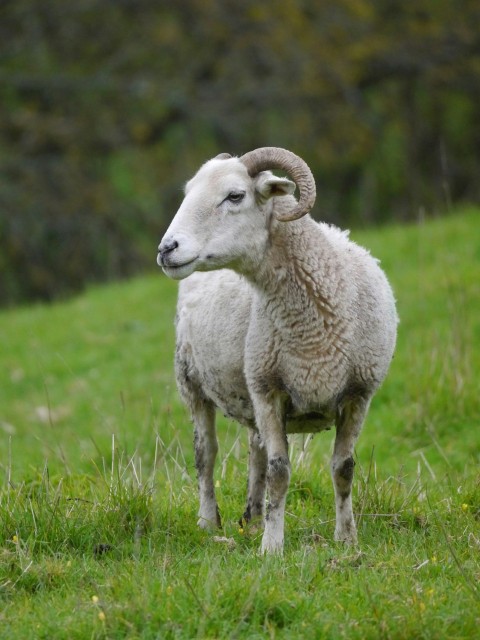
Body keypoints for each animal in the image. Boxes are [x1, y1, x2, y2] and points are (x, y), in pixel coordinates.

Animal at [157, 147, 398, 554]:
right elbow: (279, 471)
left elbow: (343, 468)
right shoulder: (268, 390)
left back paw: (253, 518)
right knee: (207, 454)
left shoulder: (358, 394)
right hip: (192, 381)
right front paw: (272, 547)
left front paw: (347, 539)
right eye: (188, 192)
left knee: (255, 450)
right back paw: (209, 521)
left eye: (235, 195)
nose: (166, 249)